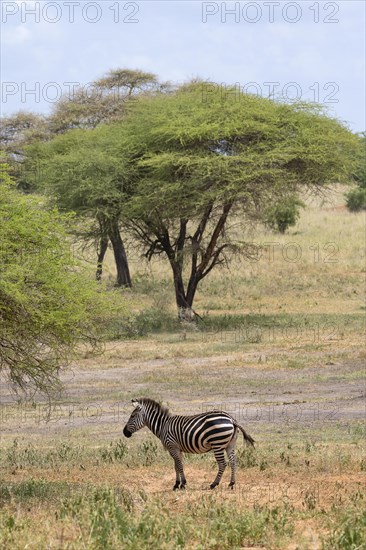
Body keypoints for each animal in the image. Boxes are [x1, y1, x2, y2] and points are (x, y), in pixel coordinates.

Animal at [123, 398, 254, 494]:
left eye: (132, 416)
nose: (124, 433)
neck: (163, 426)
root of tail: (231, 419)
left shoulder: (172, 447)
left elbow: (179, 466)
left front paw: (183, 484)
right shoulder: (177, 449)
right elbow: (177, 465)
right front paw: (177, 484)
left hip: (217, 443)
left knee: (222, 464)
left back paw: (214, 484)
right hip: (230, 444)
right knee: (233, 461)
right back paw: (231, 484)